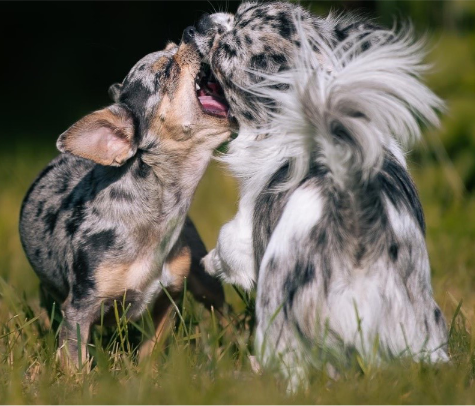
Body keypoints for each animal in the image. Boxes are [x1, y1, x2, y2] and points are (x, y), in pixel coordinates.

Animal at [19, 38, 233, 368]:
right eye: (166, 71)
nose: (189, 36)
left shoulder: (169, 295)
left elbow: (151, 349)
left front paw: (147, 373)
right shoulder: (80, 309)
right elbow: (75, 360)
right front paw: (78, 377)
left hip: (204, 281)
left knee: (224, 313)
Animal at [187, 0, 450, 386]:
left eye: (227, 51)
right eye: (238, 9)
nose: (202, 23)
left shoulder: (243, 232)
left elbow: (225, 245)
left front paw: (207, 262)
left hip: (279, 307)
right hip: (417, 326)